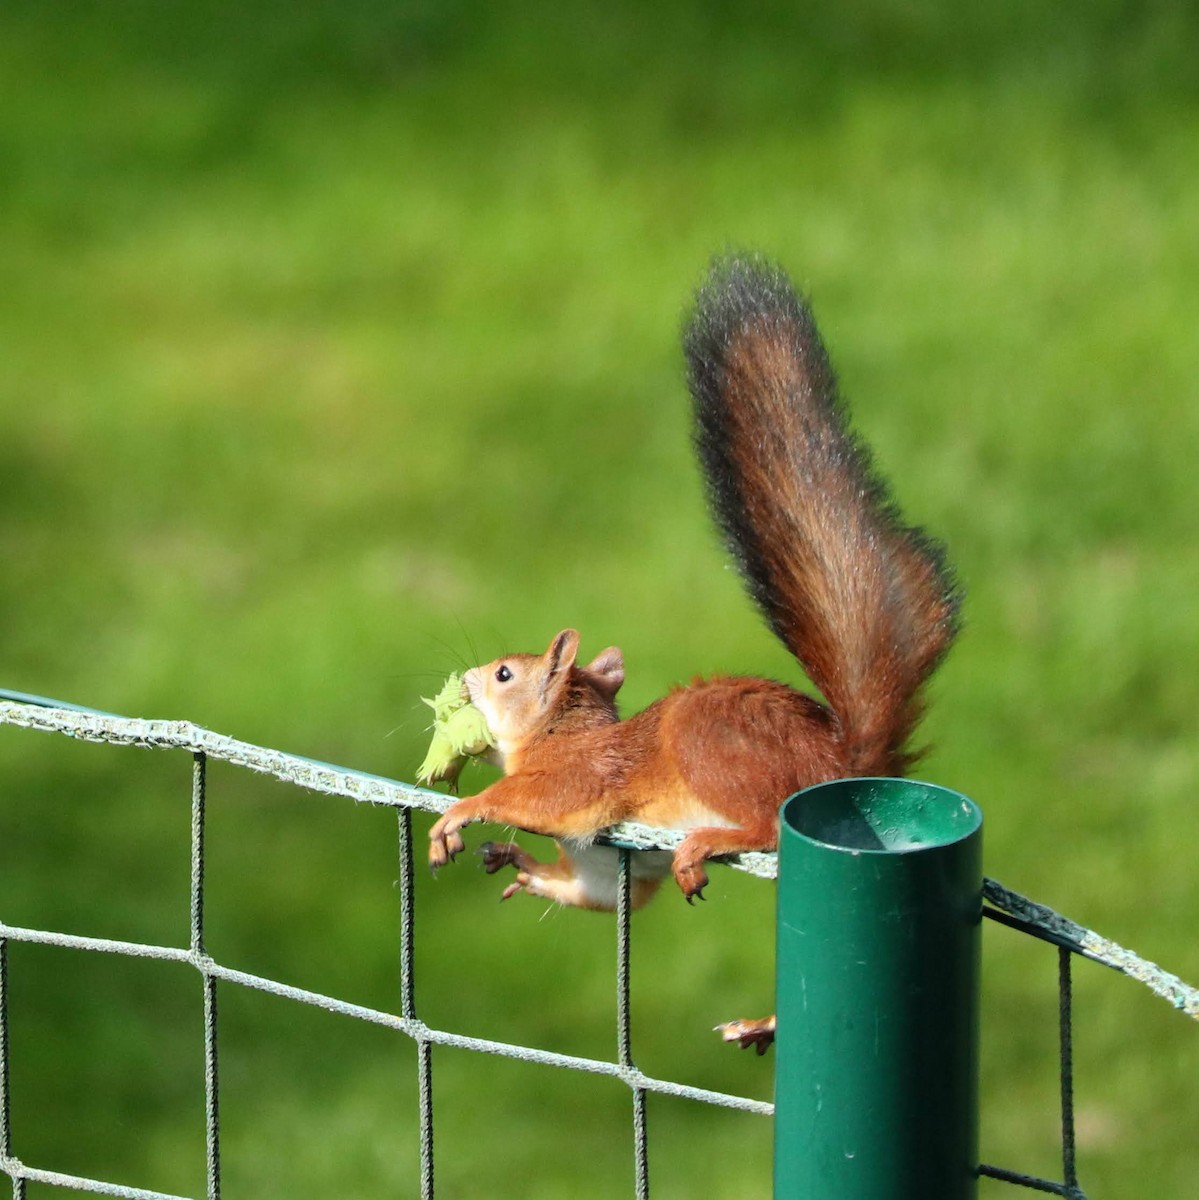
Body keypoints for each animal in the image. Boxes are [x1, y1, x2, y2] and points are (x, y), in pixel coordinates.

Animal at [427, 254, 961, 1049]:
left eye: (503, 674)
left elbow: (534, 799)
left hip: (715, 749)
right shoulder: (602, 867)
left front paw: (463, 815)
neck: (557, 735)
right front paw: (518, 862)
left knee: (763, 824)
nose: (464, 677)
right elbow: (589, 890)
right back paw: (764, 1024)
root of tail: (842, 770)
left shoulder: (583, 781)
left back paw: (703, 844)